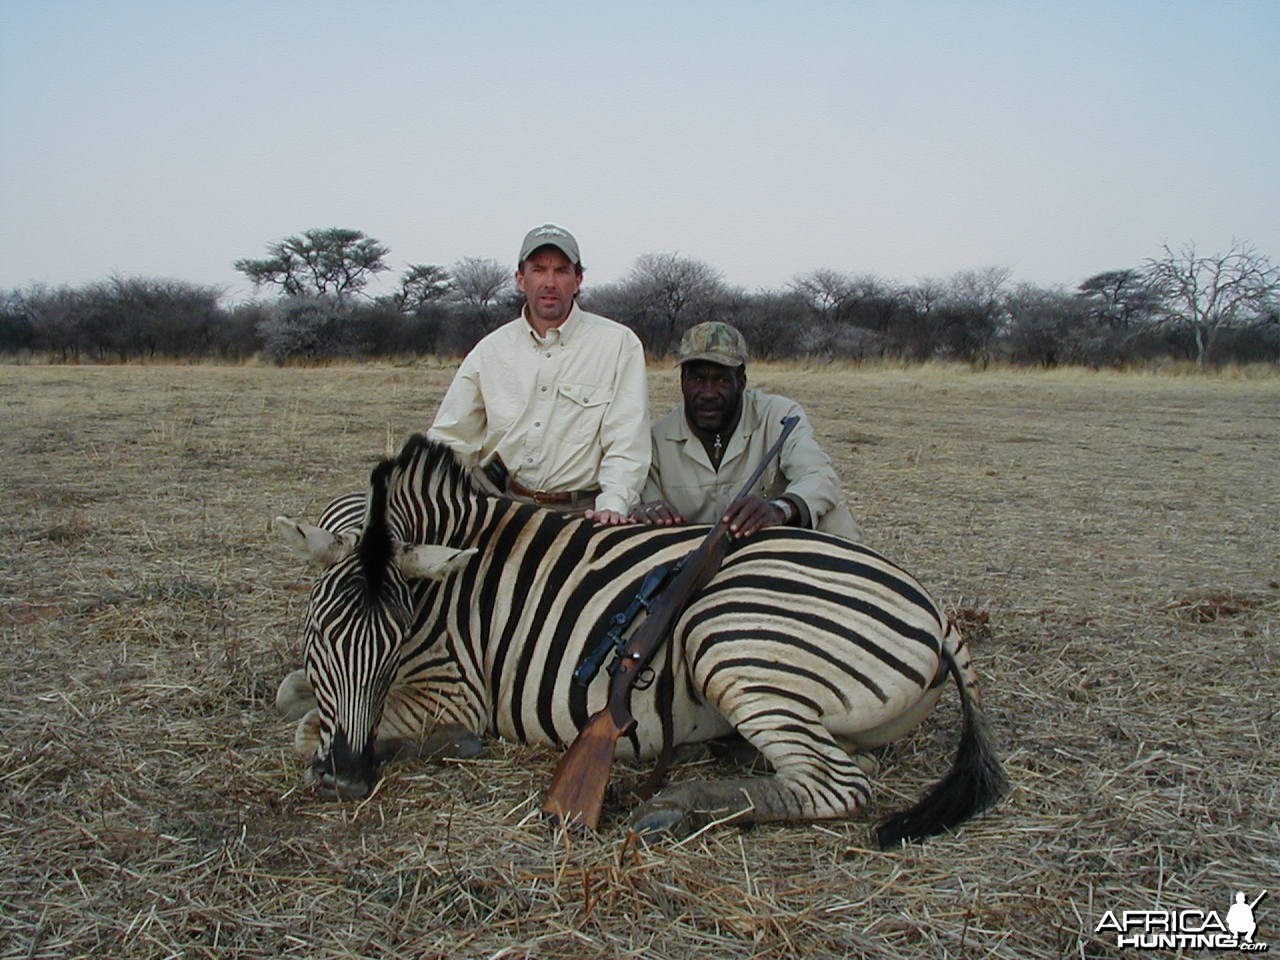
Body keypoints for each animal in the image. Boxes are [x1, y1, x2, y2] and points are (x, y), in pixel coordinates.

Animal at [275, 435, 1003, 849]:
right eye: (319, 633)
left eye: (394, 640)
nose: (348, 778)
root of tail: (939, 613)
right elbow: (294, 696)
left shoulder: (453, 693)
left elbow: (308, 729)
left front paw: (437, 746)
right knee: (842, 764)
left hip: (728, 638)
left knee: (839, 785)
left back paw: (675, 807)